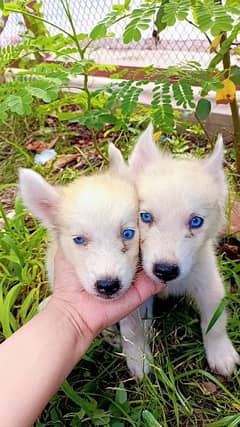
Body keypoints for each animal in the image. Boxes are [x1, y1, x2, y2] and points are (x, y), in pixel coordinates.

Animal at [128, 124, 239, 378]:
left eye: (196, 221)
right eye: (145, 217)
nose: (165, 270)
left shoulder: (209, 282)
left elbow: (215, 322)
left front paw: (221, 352)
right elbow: (133, 328)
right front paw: (138, 358)